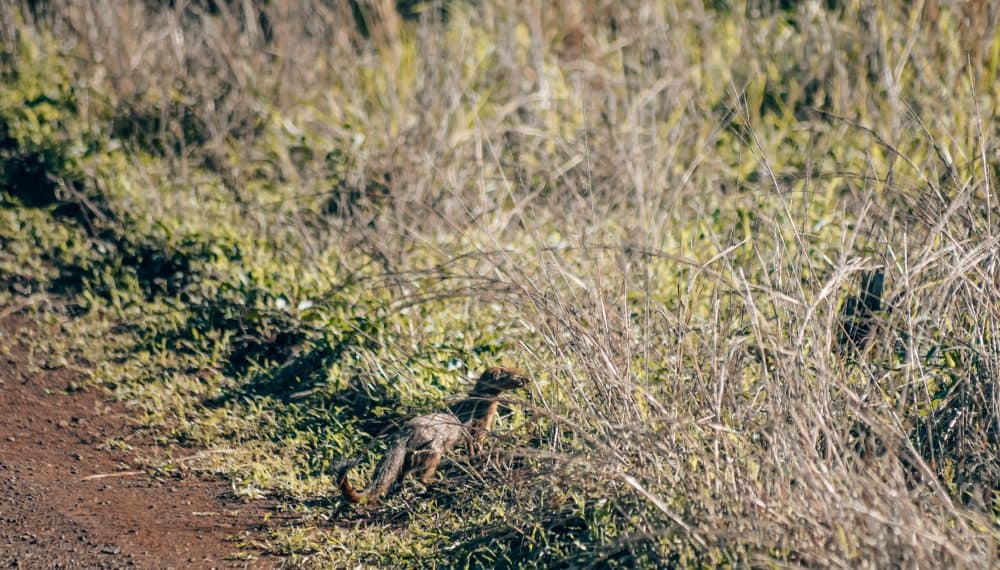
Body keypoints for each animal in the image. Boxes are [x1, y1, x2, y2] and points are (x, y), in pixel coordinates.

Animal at [338, 364, 532, 502]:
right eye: (516, 375)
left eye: (520, 370)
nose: (528, 378)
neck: (486, 405)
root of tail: (403, 433)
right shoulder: (479, 426)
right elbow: (475, 444)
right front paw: (481, 457)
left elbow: (470, 446)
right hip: (433, 449)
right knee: (422, 473)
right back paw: (434, 481)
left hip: (409, 455)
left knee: (401, 471)